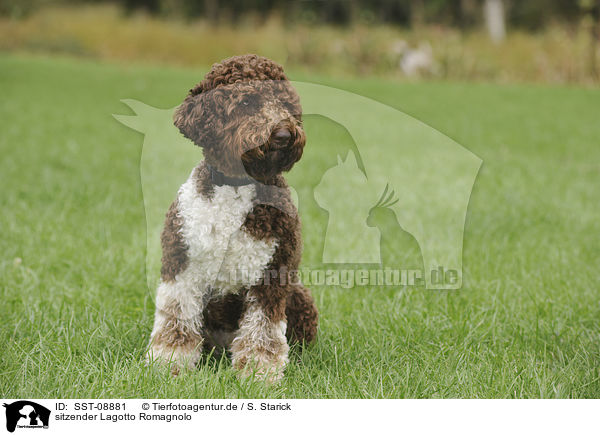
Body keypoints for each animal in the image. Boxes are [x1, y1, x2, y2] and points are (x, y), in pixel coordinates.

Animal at [147, 53, 318, 382]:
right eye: (246, 102)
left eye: (284, 102)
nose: (284, 134)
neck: (237, 186)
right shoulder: (182, 265)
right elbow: (176, 320)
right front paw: (168, 363)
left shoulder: (271, 276)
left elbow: (262, 329)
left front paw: (259, 372)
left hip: (299, 295)